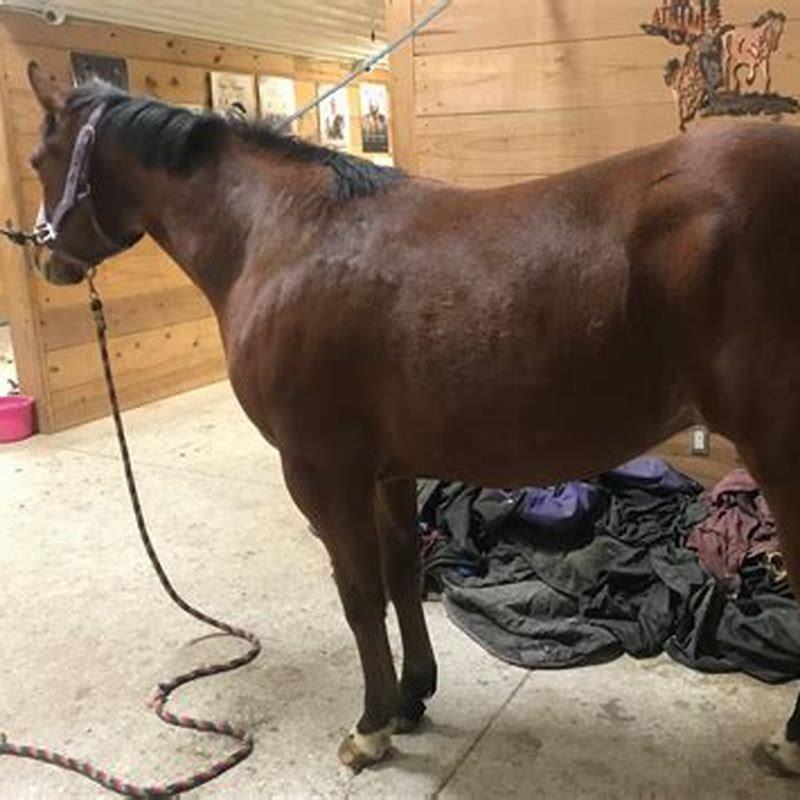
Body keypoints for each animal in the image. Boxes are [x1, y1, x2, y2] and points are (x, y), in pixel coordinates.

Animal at [23, 61, 800, 777]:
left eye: (38, 158)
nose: (46, 257)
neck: (283, 236)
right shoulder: (387, 470)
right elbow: (401, 571)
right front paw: (412, 695)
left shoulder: (321, 472)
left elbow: (359, 594)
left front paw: (371, 726)